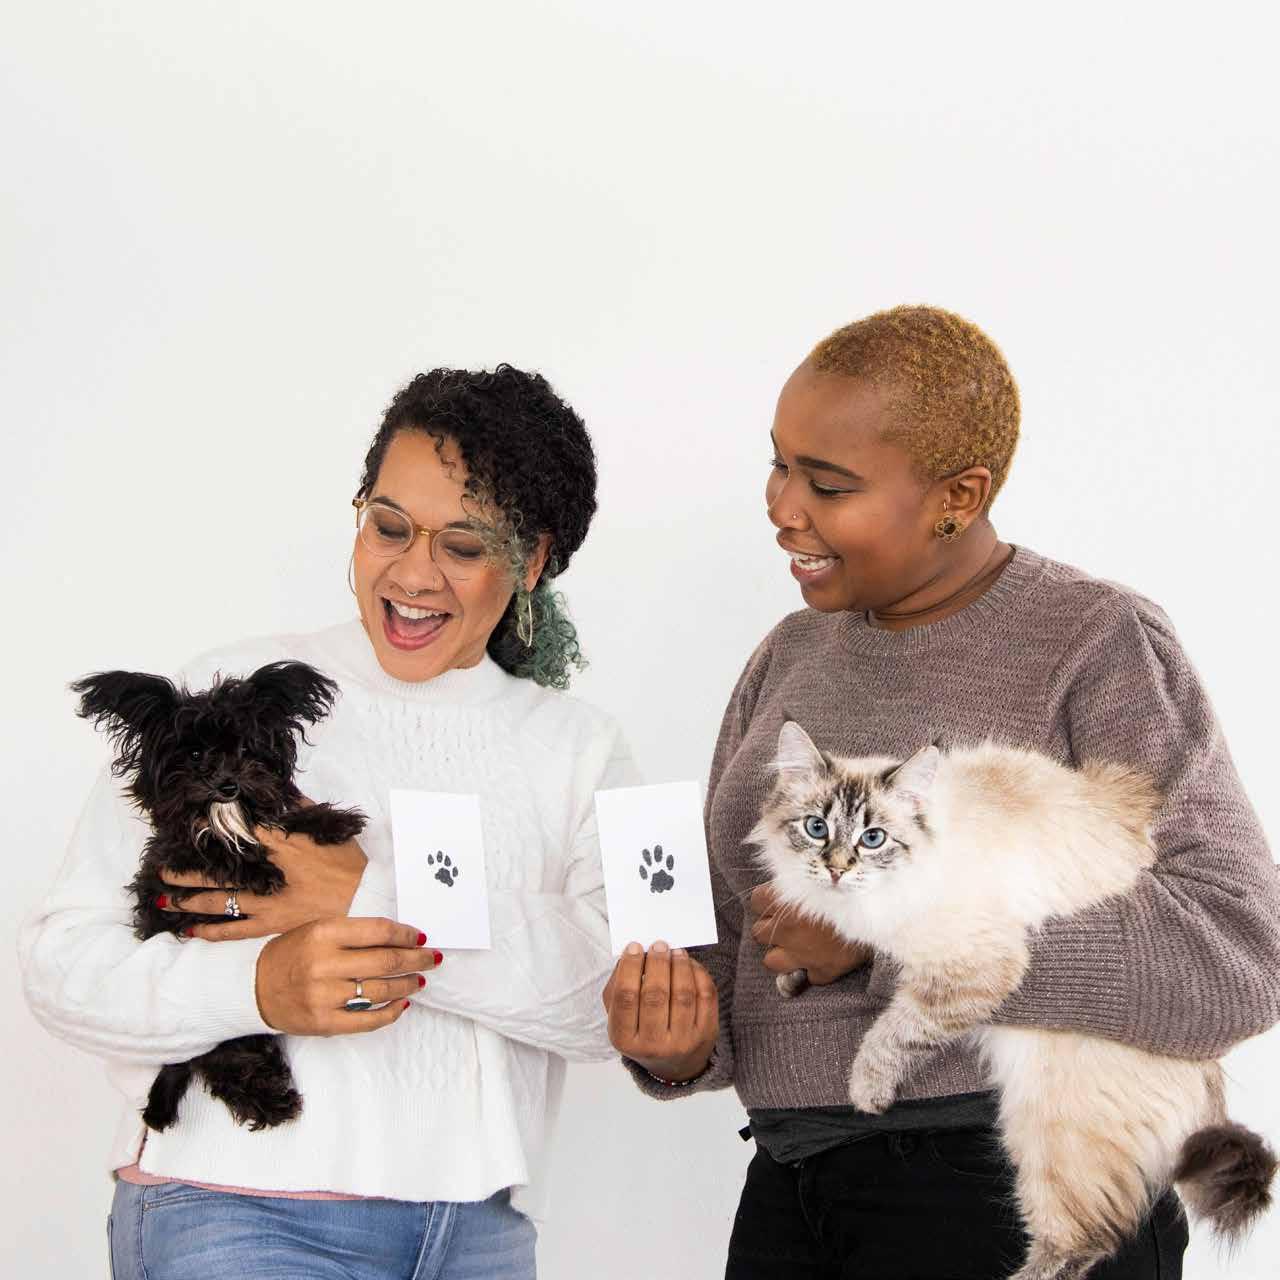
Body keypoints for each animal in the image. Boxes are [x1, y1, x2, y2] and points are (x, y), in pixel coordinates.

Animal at [72, 660, 366, 1132]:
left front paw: (330, 820)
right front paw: (256, 868)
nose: (227, 785)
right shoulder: (173, 862)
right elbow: (212, 848)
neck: (226, 816)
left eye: (247, 749)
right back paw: (268, 1101)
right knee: (222, 1066)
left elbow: (281, 812)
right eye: (194, 755)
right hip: (220, 1040)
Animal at [749, 720, 1275, 1280]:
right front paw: (790, 982)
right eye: (816, 829)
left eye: (873, 839)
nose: (836, 870)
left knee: (1082, 1242)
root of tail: (1208, 1069)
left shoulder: (970, 968)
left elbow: (891, 1035)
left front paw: (867, 1093)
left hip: (1048, 1135)